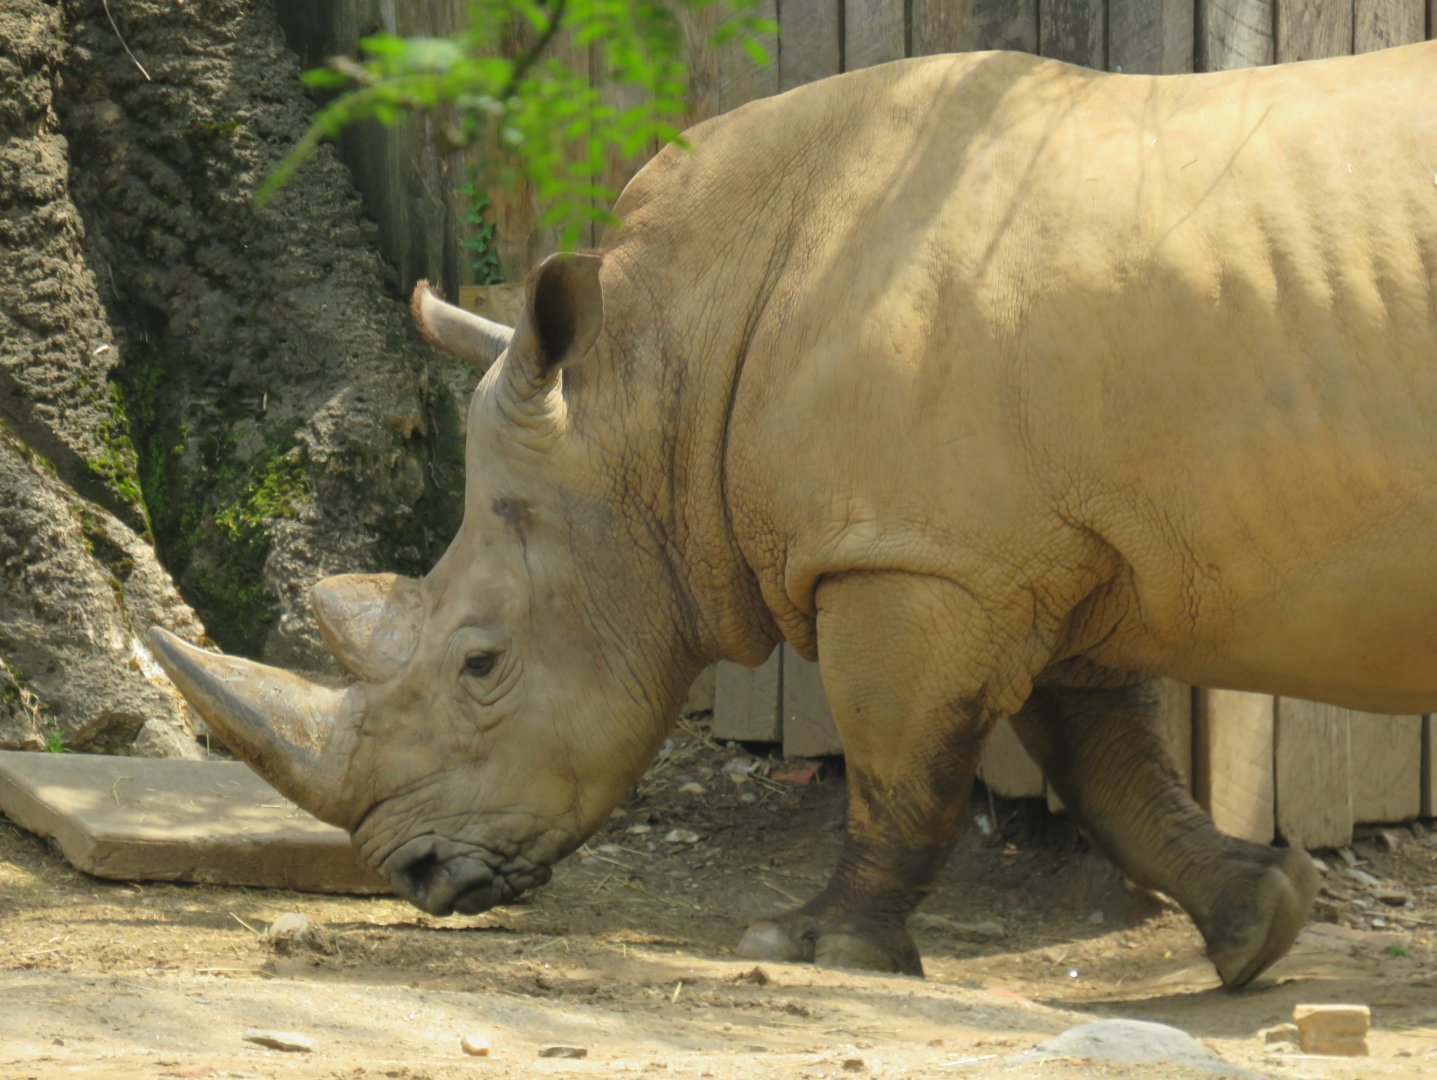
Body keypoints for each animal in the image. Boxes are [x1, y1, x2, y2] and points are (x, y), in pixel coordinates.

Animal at [149, 41, 1437, 988]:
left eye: (481, 665)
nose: (412, 873)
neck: (655, 384)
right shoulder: (1032, 546)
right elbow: (1105, 763)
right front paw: (1260, 922)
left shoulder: (916, 557)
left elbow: (897, 761)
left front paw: (817, 947)